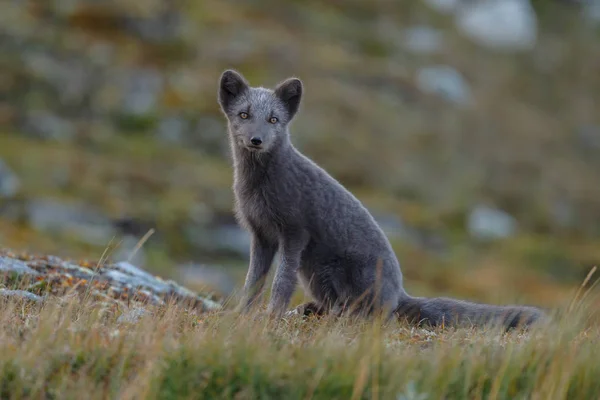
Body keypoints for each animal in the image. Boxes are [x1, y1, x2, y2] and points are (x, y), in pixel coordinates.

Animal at [218, 69, 548, 332]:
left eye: (274, 119)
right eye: (244, 115)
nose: (257, 140)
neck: (259, 186)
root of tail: (398, 292)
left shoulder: (294, 232)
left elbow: (280, 283)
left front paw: (270, 318)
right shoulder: (261, 235)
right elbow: (252, 281)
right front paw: (241, 315)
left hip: (333, 269)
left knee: (368, 314)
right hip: (314, 272)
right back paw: (311, 310)